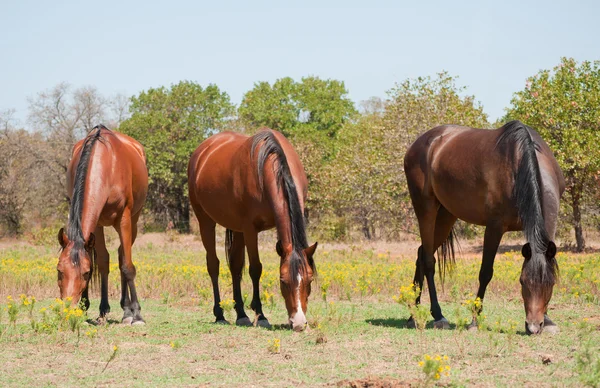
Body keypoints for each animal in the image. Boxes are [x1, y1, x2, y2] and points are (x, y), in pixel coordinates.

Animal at [56, 124, 149, 324]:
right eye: (59, 270)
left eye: (85, 273)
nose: (68, 311)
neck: (105, 166)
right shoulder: (96, 225)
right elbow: (102, 262)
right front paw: (96, 309)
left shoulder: (124, 218)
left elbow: (127, 266)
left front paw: (137, 314)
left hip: (133, 221)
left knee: (123, 255)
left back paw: (128, 311)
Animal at [189, 129, 318, 332]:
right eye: (282, 281)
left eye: (310, 280)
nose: (298, 323)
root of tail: (202, 151)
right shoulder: (250, 229)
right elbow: (255, 269)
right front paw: (261, 315)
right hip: (206, 221)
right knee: (213, 265)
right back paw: (220, 314)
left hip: (236, 228)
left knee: (234, 266)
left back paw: (241, 315)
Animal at [406, 120, 564, 334]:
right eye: (522, 281)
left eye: (551, 283)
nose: (532, 327)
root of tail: (420, 143)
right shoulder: (494, 227)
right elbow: (485, 272)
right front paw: (474, 321)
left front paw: (548, 321)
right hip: (426, 209)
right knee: (429, 260)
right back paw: (438, 315)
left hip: (447, 215)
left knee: (422, 253)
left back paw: (413, 314)